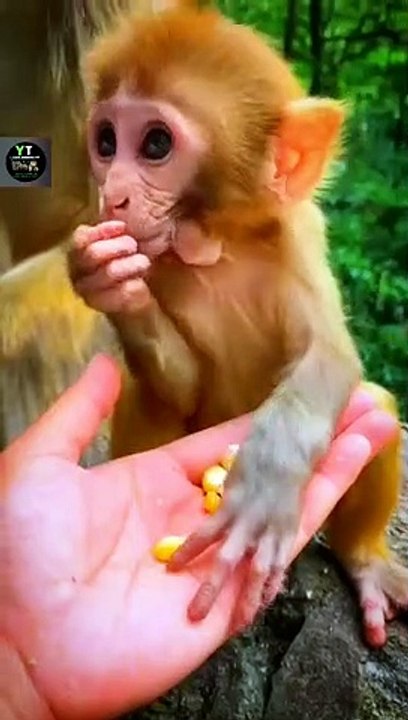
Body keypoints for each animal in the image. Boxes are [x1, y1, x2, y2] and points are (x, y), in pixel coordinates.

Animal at [65, 5, 408, 648]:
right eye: (106, 142)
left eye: (155, 143)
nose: (111, 195)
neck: (216, 247)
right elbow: (182, 387)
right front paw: (106, 279)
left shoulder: (298, 236)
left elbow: (331, 361)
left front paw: (262, 490)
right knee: (147, 394)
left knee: (374, 403)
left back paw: (364, 561)